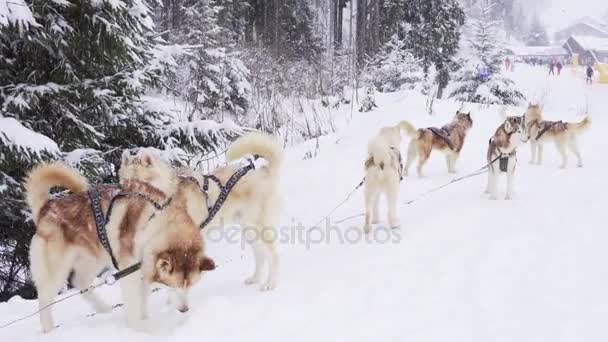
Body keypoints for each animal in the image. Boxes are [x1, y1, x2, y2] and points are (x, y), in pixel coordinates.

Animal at [26, 149, 216, 332]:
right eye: (172, 286)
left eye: (190, 285)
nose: (184, 310)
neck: (155, 222)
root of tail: (46, 208)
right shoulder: (129, 271)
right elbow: (133, 304)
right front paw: (140, 327)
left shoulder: (143, 267)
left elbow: (143, 298)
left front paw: (145, 318)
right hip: (56, 272)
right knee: (44, 302)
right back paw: (50, 330)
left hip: (93, 258)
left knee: (80, 282)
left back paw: (103, 308)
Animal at [177, 133, 284, 292]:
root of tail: (264, 171)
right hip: (249, 230)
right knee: (261, 256)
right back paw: (255, 279)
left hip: (260, 229)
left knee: (274, 257)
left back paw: (270, 284)